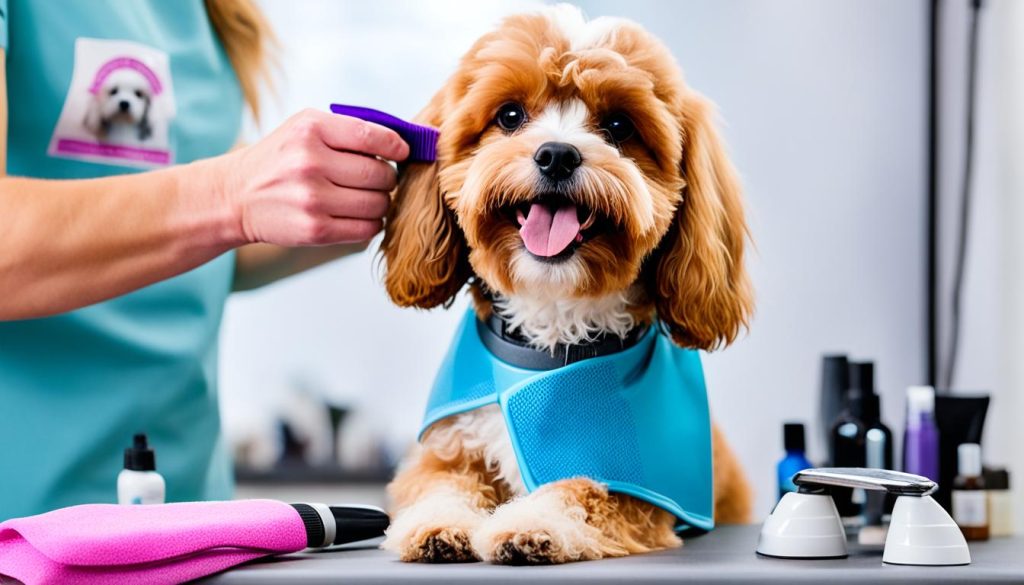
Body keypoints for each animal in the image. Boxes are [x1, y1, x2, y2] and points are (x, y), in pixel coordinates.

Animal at [376, 2, 753, 565]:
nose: (557, 153)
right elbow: (439, 486)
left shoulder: (639, 491)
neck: (553, 326)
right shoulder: (447, 451)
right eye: (510, 116)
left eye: (618, 124)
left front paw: (532, 523)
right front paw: (438, 524)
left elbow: (578, 491)